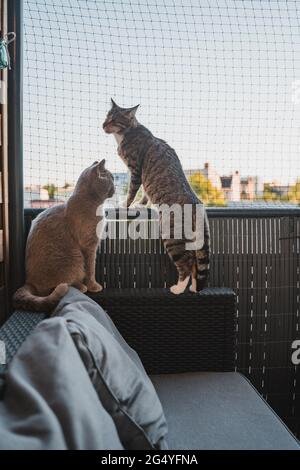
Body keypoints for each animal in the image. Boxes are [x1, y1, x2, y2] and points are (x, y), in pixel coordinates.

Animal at [12, 161, 114, 312]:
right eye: (111, 179)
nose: (115, 186)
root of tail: (29, 281)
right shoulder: (90, 246)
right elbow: (91, 268)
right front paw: (93, 286)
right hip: (74, 259)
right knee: (61, 284)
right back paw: (81, 287)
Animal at [104, 99, 210, 294]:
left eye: (114, 119)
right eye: (107, 116)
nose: (103, 125)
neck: (128, 132)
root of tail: (196, 203)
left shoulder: (136, 170)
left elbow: (132, 191)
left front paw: (126, 205)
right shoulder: (143, 177)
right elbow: (145, 192)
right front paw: (141, 204)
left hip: (171, 235)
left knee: (187, 262)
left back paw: (178, 288)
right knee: (194, 261)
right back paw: (193, 286)